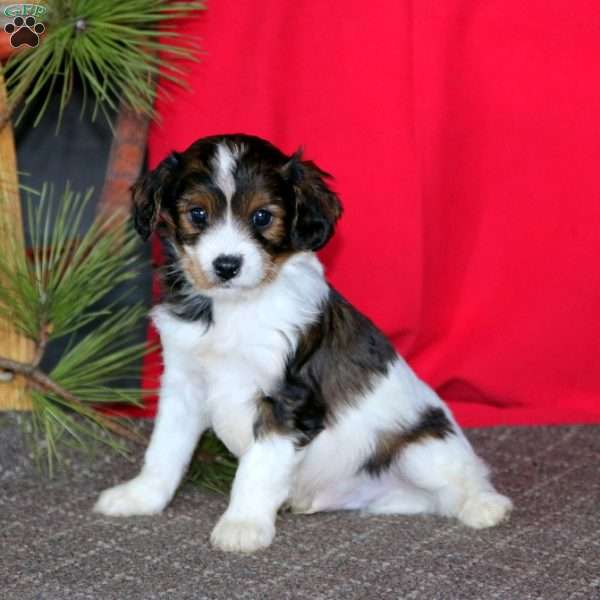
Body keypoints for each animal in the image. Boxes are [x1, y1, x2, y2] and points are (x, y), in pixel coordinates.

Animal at [94, 134, 510, 552]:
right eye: (197, 214)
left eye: (262, 217)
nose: (227, 265)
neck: (235, 308)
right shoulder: (183, 385)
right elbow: (164, 450)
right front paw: (141, 497)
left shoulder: (287, 401)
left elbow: (256, 468)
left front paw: (243, 524)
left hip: (421, 447)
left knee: (462, 479)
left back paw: (485, 505)